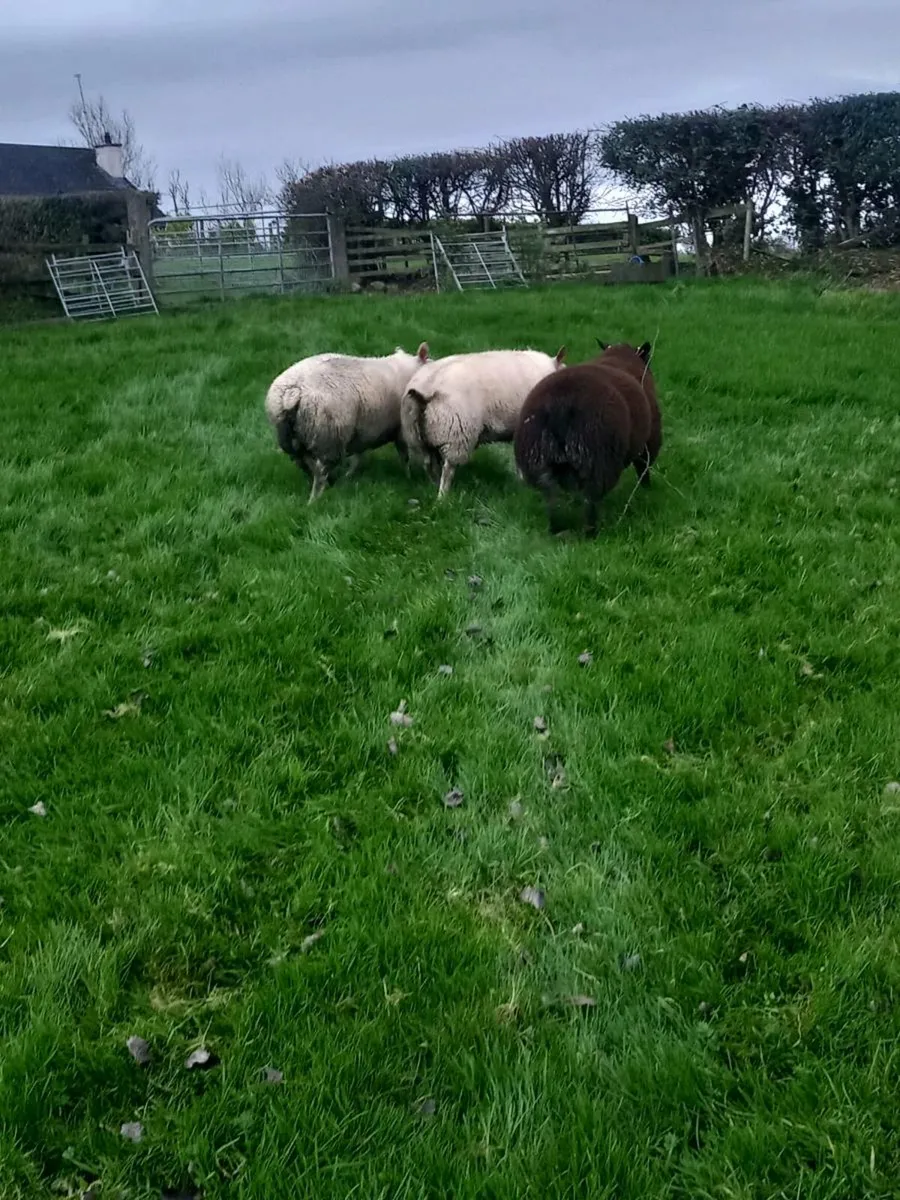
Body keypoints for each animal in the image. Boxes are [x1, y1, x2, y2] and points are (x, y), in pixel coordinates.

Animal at [265, 342, 430, 502]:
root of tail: (292, 392)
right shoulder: (400, 429)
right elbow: (404, 457)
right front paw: (409, 477)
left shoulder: (363, 430)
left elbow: (357, 456)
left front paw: (349, 475)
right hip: (329, 437)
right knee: (320, 472)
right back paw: (316, 498)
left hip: (296, 438)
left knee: (304, 463)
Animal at [400, 347, 567, 498]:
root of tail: (426, 389)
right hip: (456, 434)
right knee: (448, 469)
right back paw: (443, 497)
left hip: (419, 436)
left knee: (428, 464)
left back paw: (433, 484)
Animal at [513, 340, 662, 537]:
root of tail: (560, 404)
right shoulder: (650, 440)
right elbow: (644, 469)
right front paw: (646, 491)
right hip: (598, 462)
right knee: (590, 501)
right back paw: (591, 533)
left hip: (539, 460)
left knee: (552, 497)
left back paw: (556, 528)